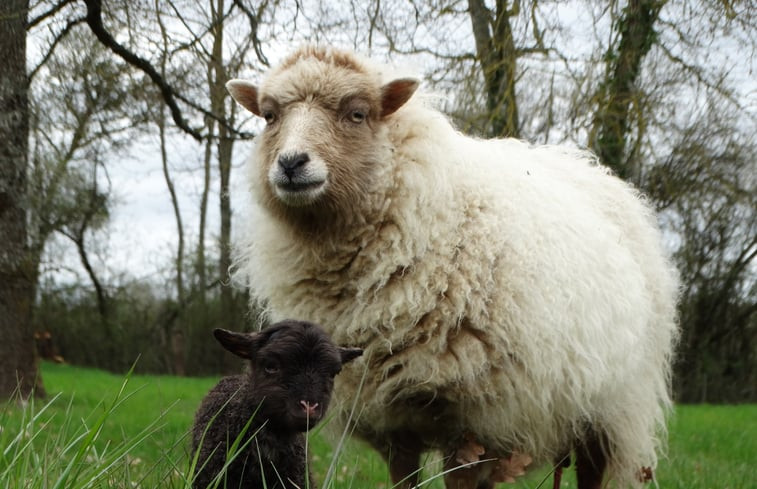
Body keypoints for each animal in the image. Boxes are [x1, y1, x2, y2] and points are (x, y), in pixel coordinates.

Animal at [226, 46, 680, 488]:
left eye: (356, 113)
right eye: (270, 116)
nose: (291, 163)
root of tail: (598, 172)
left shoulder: (472, 414)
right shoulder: (392, 417)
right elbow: (403, 479)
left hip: (612, 405)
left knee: (591, 469)